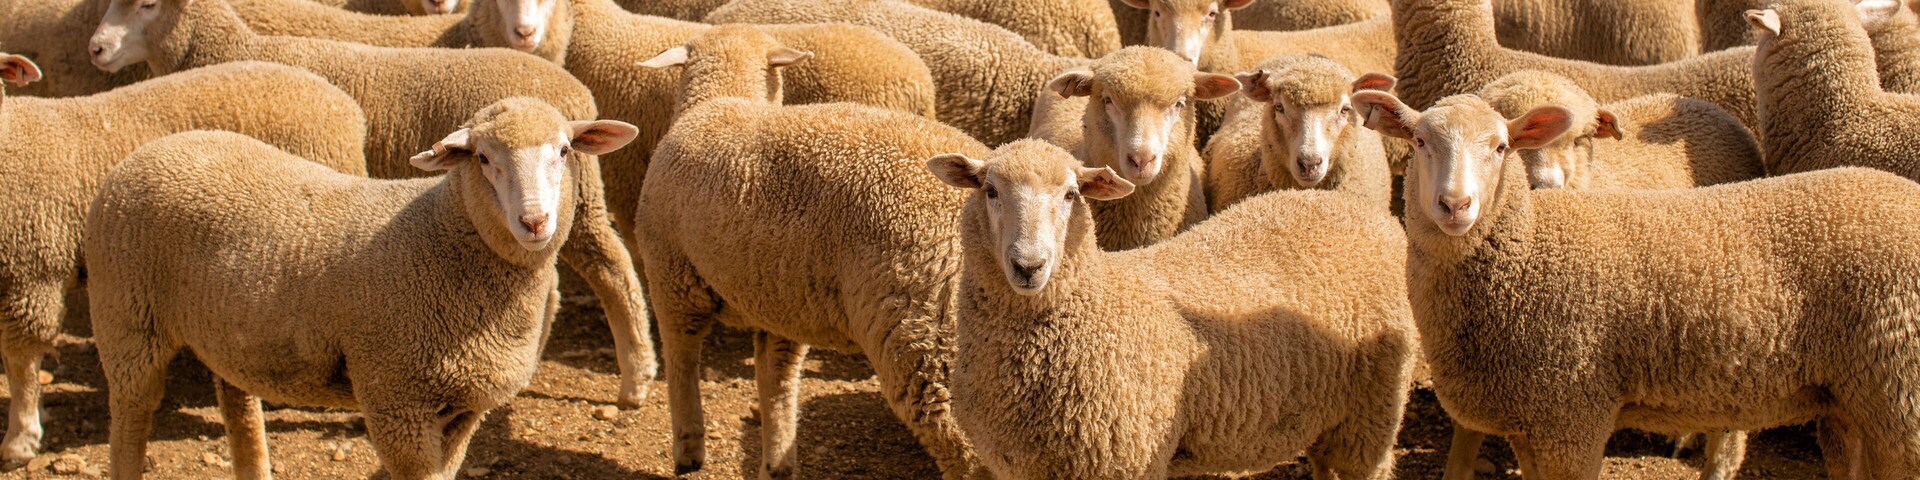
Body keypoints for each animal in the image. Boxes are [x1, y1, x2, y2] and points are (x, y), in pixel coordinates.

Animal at [87, 98, 640, 480]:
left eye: (564, 151)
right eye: (483, 158)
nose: (535, 222)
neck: (440, 238)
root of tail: (147, 152)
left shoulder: (464, 408)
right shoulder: (395, 399)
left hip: (229, 333)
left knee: (237, 405)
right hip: (127, 319)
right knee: (130, 418)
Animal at [89, 0, 662, 407]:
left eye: (146, 4)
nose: (96, 49)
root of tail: (574, 92)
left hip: (572, 202)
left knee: (614, 269)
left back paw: (635, 378)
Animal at [634, 25, 989, 480]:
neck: (720, 100)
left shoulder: (672, 278)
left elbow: (681, 363)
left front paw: (688, 446)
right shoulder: (779, 302)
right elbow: (777, 381)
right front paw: (777, 461)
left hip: (921, 333)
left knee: (964, 448)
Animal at [928, 139, 1416, 479]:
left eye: (1070, 194)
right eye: (990, 190)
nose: (1029, 266)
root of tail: (1366, 213)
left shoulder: (1128, 460)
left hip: (1372, 414)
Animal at [1352, 89, 1920, 480]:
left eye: (1500, 147)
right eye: (1420, 142)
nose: (1455, 205)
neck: (1528, 253)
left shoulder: (1572, 413)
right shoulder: (1530, 420)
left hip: (1900, 394)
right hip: (1851, 401)